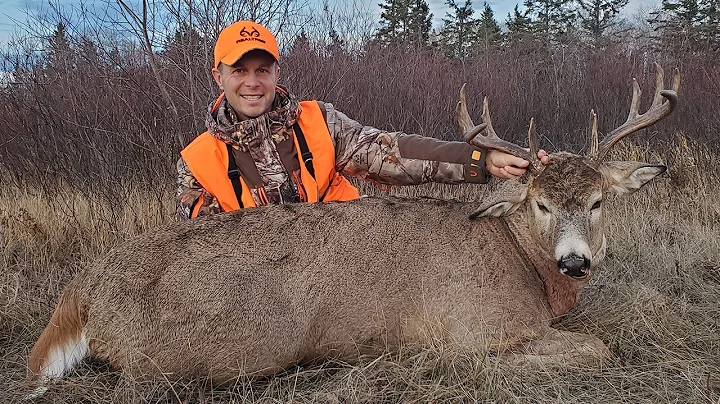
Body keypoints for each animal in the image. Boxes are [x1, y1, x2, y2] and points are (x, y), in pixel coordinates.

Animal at [26, 64, 679, 397]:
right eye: (541, 204)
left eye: (597, 201)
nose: (575, 261)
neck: (526, 268)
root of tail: (83, 288)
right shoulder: (473, 330)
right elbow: (595, 349)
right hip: (212, 346)